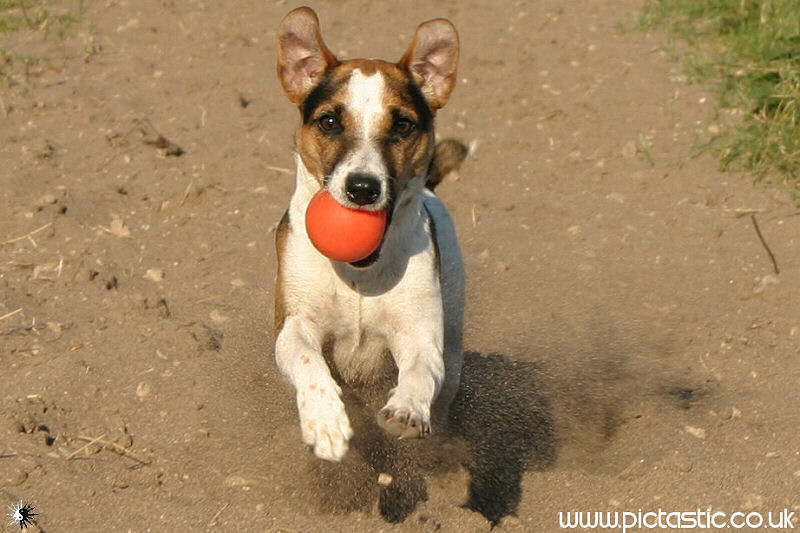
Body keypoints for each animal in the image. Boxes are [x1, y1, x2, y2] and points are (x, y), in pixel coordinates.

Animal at [274, 5, 466, 462]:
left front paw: (408, 409)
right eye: (329, 121)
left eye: (402, 126)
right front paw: (325, 421)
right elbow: (307, 359)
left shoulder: (420, 334)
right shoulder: (293, 323)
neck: (358, 276)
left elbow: (420, 369)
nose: (362, 188)